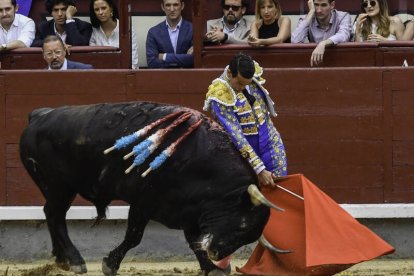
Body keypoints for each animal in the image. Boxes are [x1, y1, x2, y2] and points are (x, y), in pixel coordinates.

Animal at [18, 102, 272, 276]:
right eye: (242, 224)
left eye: (248, 236)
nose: (217, 254)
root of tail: (38, 116)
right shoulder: (143, 202)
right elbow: (134, 236)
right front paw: (110, 264)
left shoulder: (189, 211)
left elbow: (193, 242)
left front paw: (211, 267)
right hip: (59, 187)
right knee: (56, 216)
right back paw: (75, 260)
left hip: (57, 190)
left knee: (51, 214)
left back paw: (61, 260)